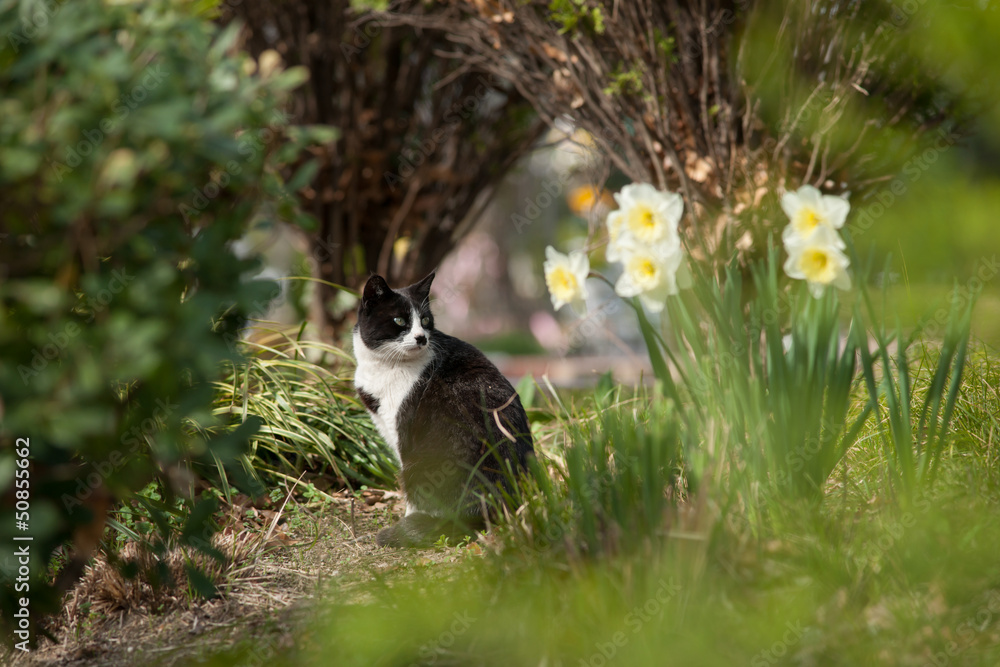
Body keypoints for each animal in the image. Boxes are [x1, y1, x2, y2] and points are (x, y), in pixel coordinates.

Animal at [354, 272, 536, 548]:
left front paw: (408, 518)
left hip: (423, 461)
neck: (383, 366)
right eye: (399, 320)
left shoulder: (402, 433)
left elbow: (409, 493)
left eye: (425, 320)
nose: (421, 338)